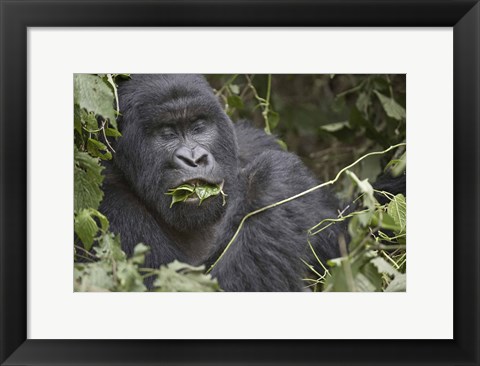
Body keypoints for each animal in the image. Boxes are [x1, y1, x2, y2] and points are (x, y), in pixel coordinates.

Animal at [100, 74, 342, 292]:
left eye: (198, 127)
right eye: (167, 133)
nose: (194, 158)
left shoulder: (253, 142)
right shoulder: (112, 205)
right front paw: (270, 182)